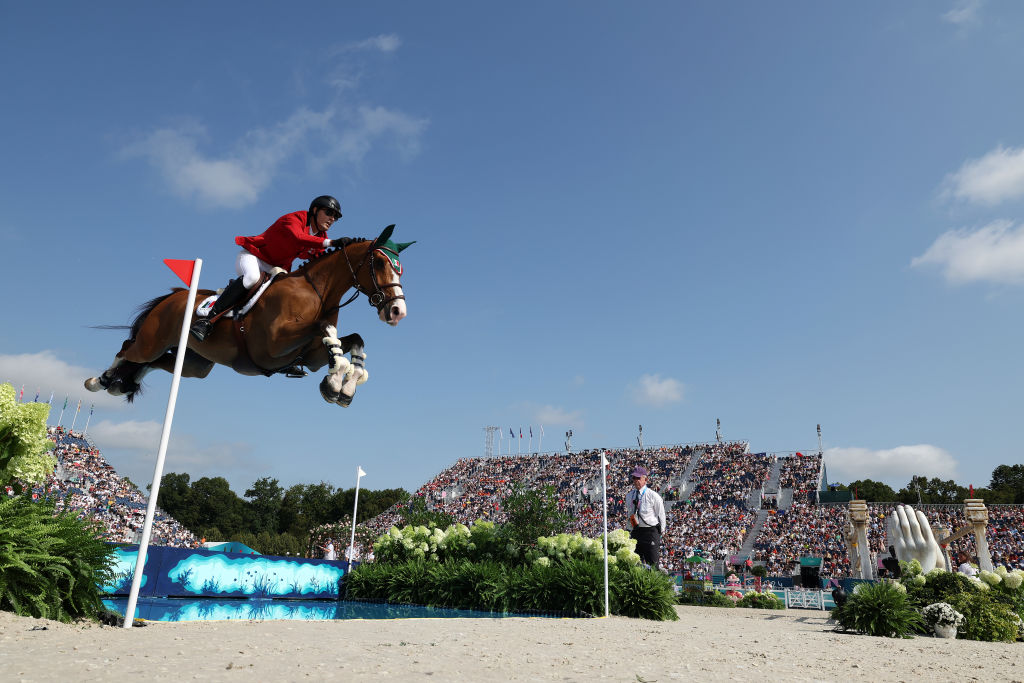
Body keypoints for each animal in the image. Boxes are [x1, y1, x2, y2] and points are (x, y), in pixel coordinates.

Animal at [84, 224, 411, 409]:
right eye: (379, 262)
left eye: (399, 267)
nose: (397, 312)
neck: (317, 291)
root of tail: (174, 296)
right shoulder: (274, 344)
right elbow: (325, 329)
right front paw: (336, 381)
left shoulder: (309, 356)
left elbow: (353, 341)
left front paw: (345, 385)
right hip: (151, 341)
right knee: (128, 351)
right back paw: (99, 380)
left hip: (195, 364)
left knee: (152, 363)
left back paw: (120, 384)